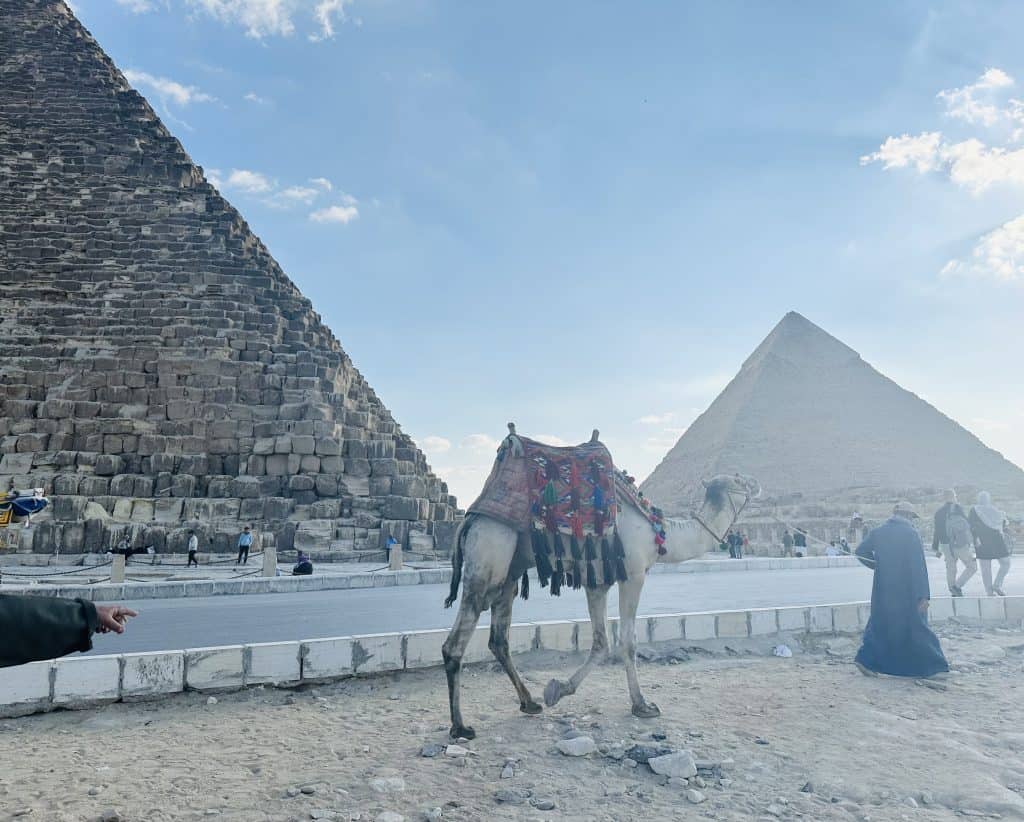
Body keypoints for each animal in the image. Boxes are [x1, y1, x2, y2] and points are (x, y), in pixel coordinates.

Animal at [441, 470, 761, 740]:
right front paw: (642, 705)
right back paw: (460, 726)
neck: (658, 530)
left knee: (499, 640)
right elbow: (627, 642)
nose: (757, 485)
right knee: (455, 644)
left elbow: (600, 641)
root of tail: (468, 520)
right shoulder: (633, 573)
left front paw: (558, 689)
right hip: (488, 556)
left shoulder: (598, 581)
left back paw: (529, 702)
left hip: (510, 571)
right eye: (739, 481)